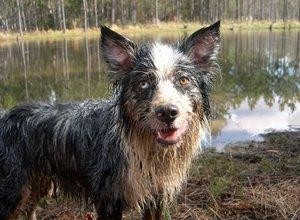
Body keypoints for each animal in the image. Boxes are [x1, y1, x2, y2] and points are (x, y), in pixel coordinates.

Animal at [0, 20, 220, 218]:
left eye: (183, 80)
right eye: (143, 83)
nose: (167, 112)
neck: (140, 145)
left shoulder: (156, 197)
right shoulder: (109, 199)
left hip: (38, 184)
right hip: (13, 191)